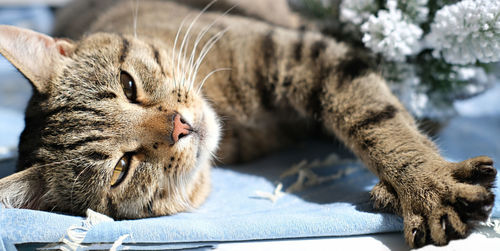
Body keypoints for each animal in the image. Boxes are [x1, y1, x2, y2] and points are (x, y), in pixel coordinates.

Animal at [0, 0, 494, 247]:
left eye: (127, 84)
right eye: (121, 169)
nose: (180, 127)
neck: (235, 119)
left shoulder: (306, 53)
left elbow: (377, 120)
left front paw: (426, 185)